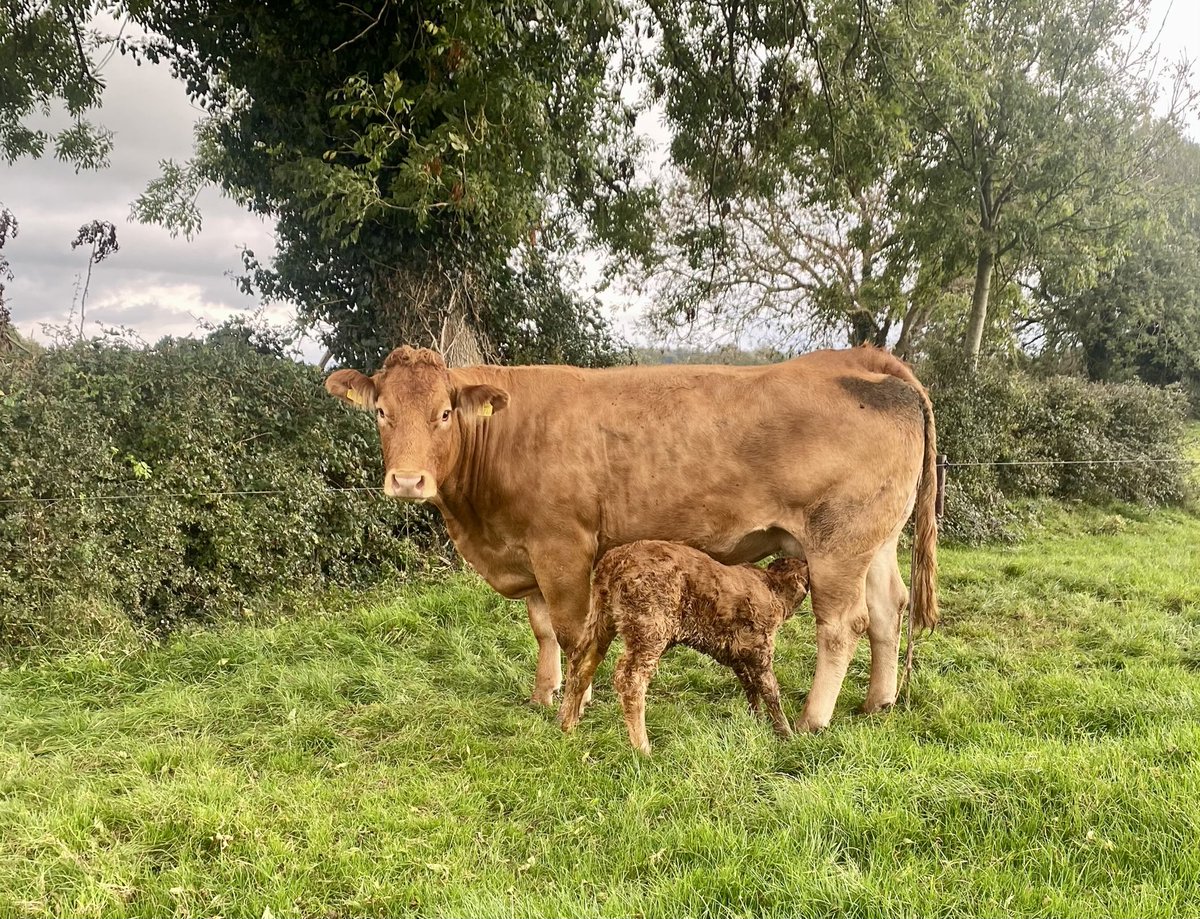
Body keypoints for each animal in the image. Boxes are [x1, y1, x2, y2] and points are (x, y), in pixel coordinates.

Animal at [325, 344, 937, 732]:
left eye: (445, 413)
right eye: (381, 412)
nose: (408, 481)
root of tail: (856, 358)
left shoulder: (562, 547)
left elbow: (572, 632)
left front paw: (579, 695)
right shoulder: (531, 553)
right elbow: (542, 628)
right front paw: (544, 691)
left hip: (837, 542)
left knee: (842, 625)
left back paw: (813, 718)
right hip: (876, 541)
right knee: (888, 611)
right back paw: (878, 703)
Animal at [557, 541, 812, 754]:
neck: (773, 586)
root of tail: (615, 560)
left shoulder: (738, 654)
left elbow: (750, 687)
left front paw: (756, 719)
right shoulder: (760, 648)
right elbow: (770, 690)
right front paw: (786, 734)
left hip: (601, 617)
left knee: (582, 660)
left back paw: (568, 725)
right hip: (650, 627)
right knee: (630, 679)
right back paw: (643, 749)